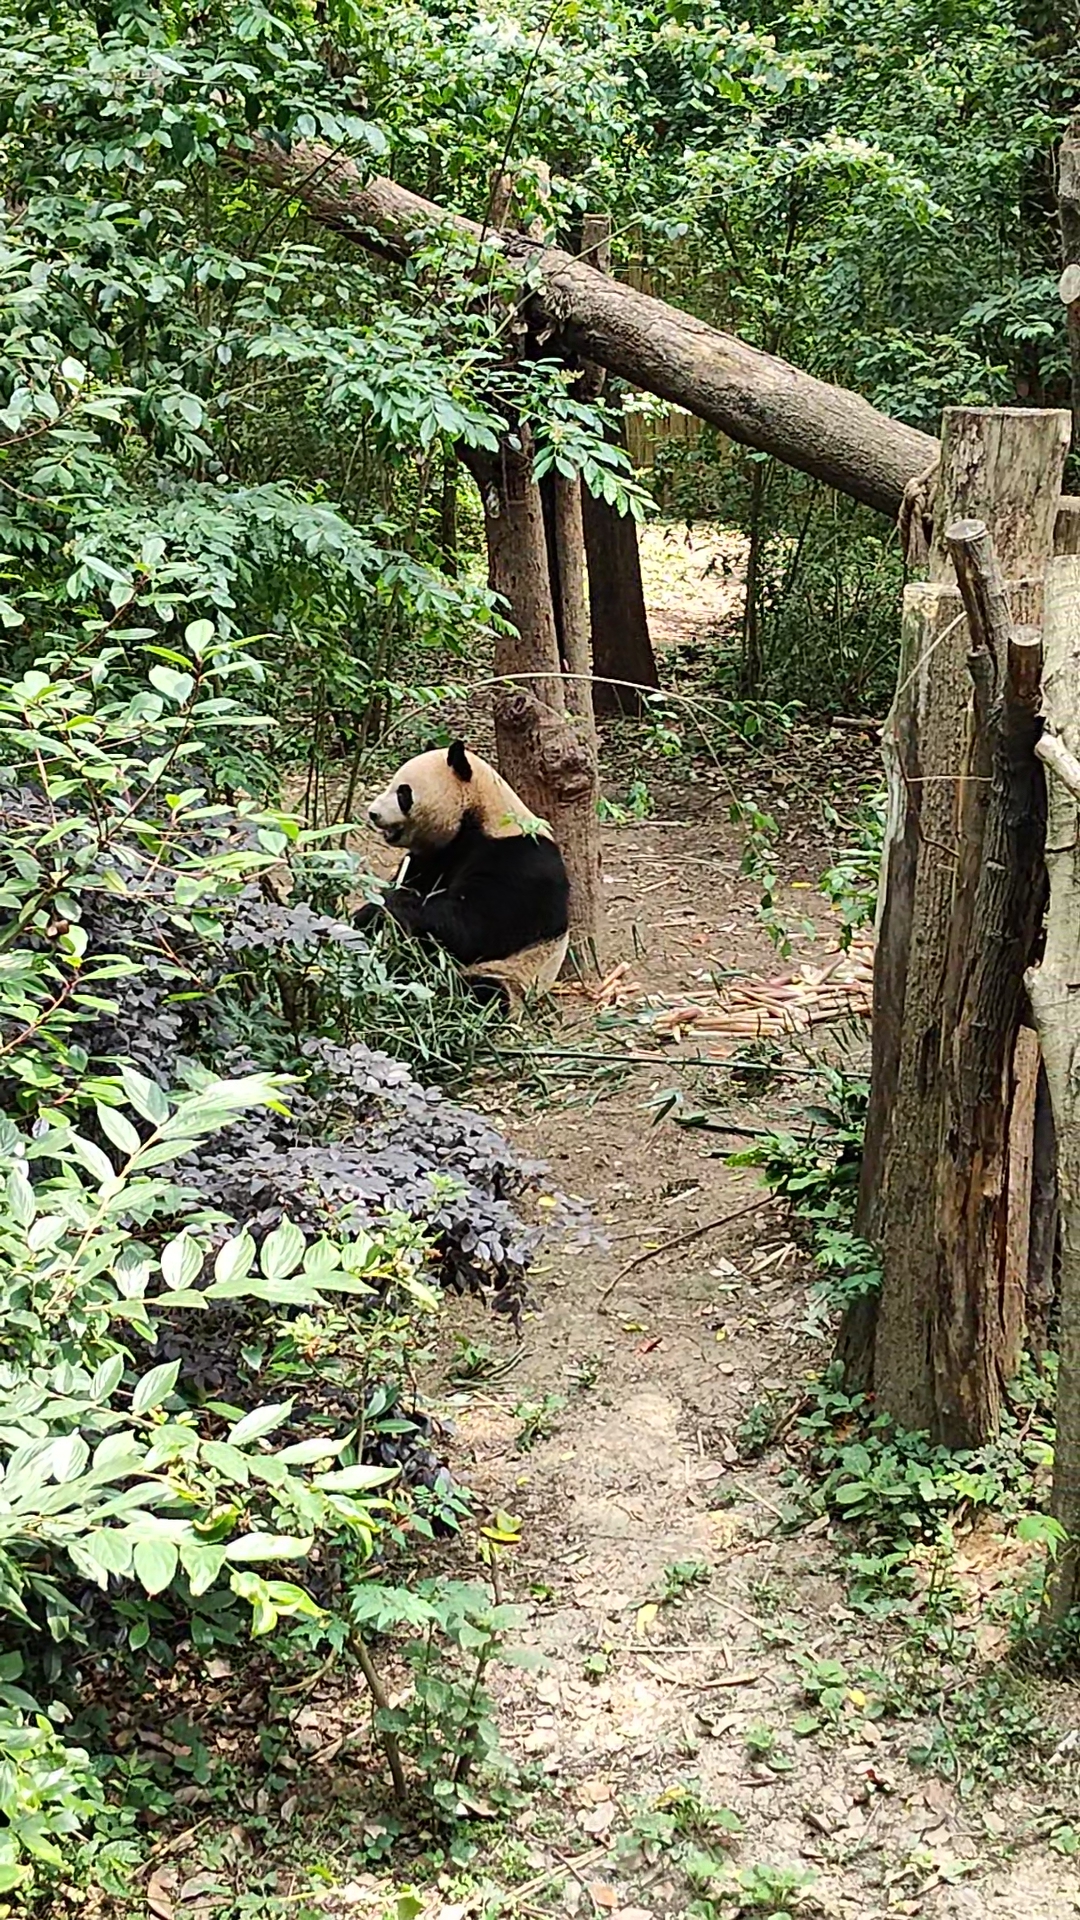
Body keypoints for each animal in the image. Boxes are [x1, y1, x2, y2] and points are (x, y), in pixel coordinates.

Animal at [358, 740, 570, 1006]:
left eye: (402, 793)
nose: (372, 813)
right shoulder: (436, 856)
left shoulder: (520, 861)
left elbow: (472, 927)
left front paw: (390, 908)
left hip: (511, 974)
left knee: (483, 992)